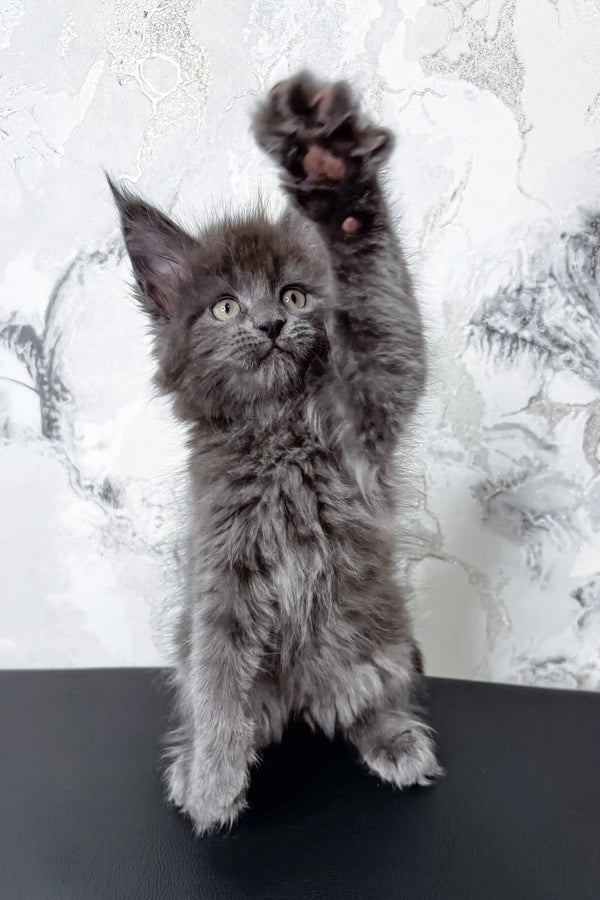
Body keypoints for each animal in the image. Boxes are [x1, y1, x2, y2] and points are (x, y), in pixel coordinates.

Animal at [111, 72, 440, 836]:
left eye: (294, 295)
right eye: (225, 308)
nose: (269, 325)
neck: (278, 435)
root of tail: (300, 699)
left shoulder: (372, 405)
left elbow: (388, 324)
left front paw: (337, 183)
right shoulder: (219, 580)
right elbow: (217, 687)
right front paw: (212, 784)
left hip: (377, 643)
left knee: (368, 702)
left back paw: (396, 741)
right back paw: (192, 761)